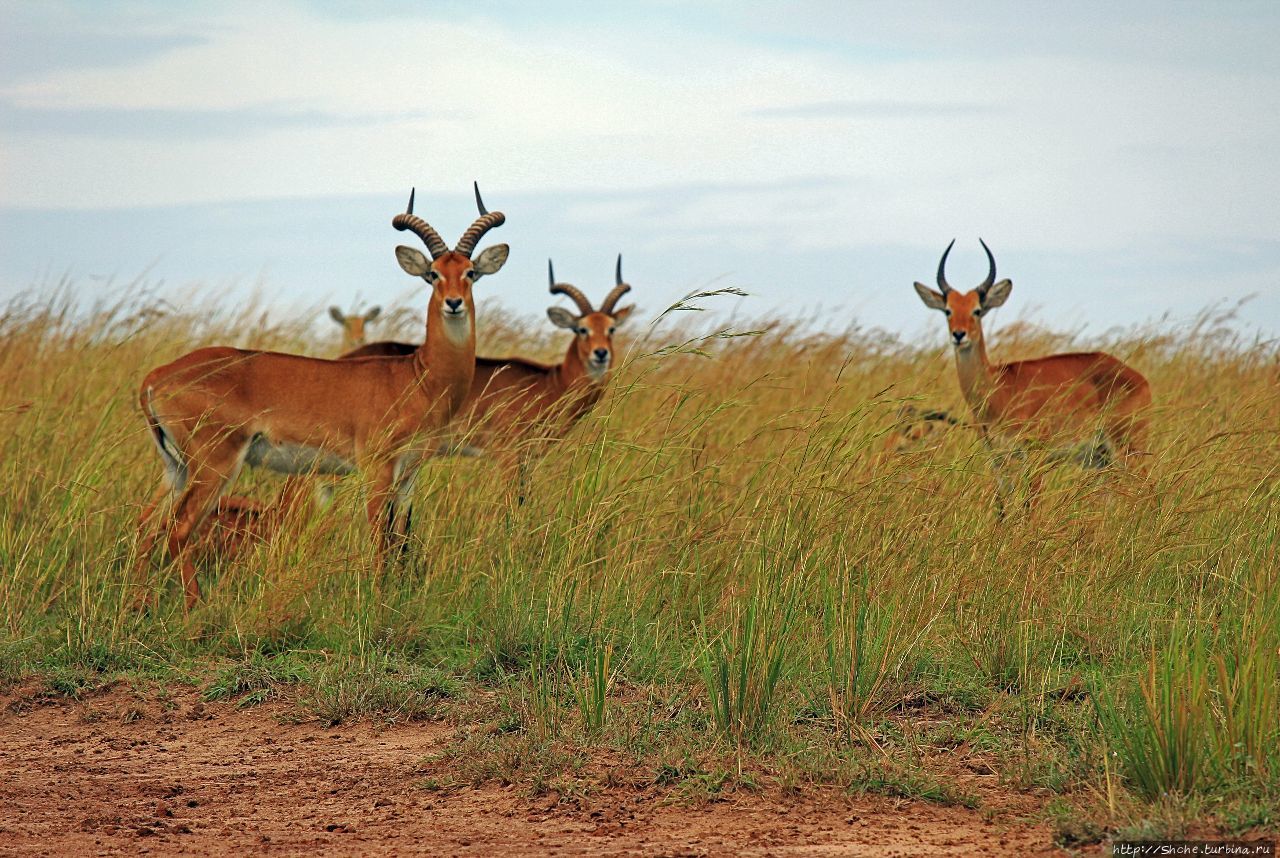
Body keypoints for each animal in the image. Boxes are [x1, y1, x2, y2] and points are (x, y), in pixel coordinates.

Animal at [133, 184, 504, 609]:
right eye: (433, 274)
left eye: (470, 272)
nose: (453, 303)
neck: (417, 376)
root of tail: (156, 376)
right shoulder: (376, 468)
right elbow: (379, 538)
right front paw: (376, 601)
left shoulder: (410, 472)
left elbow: (402, 540)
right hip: (215, 466)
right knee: (177, 529)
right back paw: (196, 607)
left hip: (175, 468)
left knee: (146, 525)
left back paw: (139, 605)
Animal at [911, 236, 1152, 517]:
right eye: (948, 310)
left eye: (977, 310)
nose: (959, 335)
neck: (998, 389)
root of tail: (1139, 378)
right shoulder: (997, 459)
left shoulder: (1035, 455)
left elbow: (1032, 508)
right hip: (1103, 459)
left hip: (1128, 447)